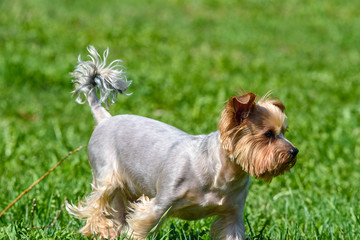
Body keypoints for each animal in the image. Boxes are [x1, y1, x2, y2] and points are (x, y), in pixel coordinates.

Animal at [65, 46, 298, 239]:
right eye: (268, 134)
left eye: (284, 132)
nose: (295, 151)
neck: (220, 172)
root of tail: (104, 118)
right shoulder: (158, 205)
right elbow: (140, 227)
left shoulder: (232, 215)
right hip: (106, 176)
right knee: (97, 205)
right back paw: (99, 230)